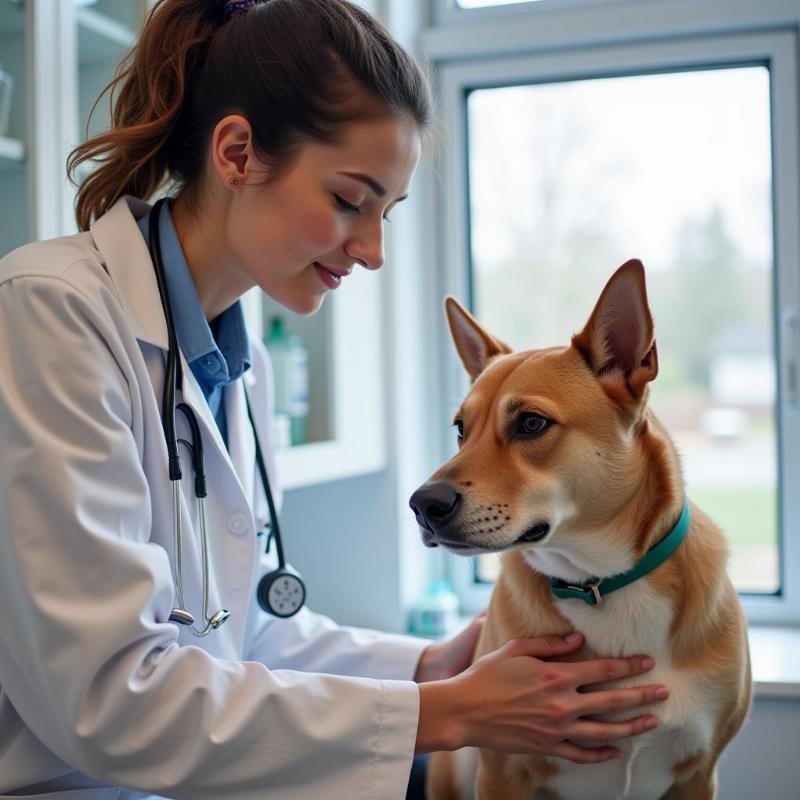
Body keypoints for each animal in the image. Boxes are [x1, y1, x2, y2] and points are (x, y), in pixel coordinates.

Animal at [410, 262, 752, 800]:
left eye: (531, 423)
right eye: (461, 429)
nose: (423, 505)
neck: (601, 582)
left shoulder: (699, 774)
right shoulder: (501, 771)